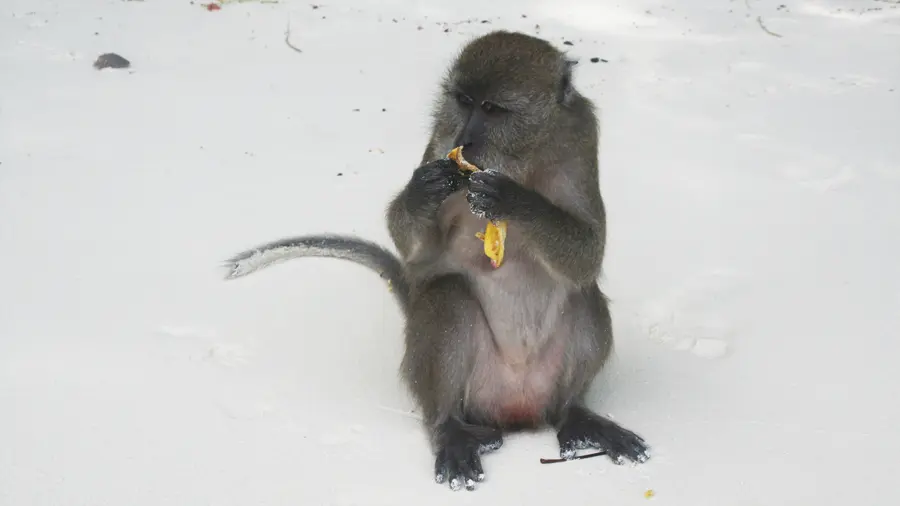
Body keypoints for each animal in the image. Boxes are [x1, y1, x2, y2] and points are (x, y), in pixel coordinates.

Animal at [224, 30, 648, 490]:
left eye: (492, 109)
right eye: (463, 100)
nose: (468, 135)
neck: (521, 157)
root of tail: (520, 413)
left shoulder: (579, 138)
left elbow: (588, 254)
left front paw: (514, 200)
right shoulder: (441, 140)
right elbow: (421, 256)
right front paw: (421, 191)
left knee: (583, 295)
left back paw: (576, 414)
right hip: (469, 392)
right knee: (447, 295)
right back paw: (449, 428)